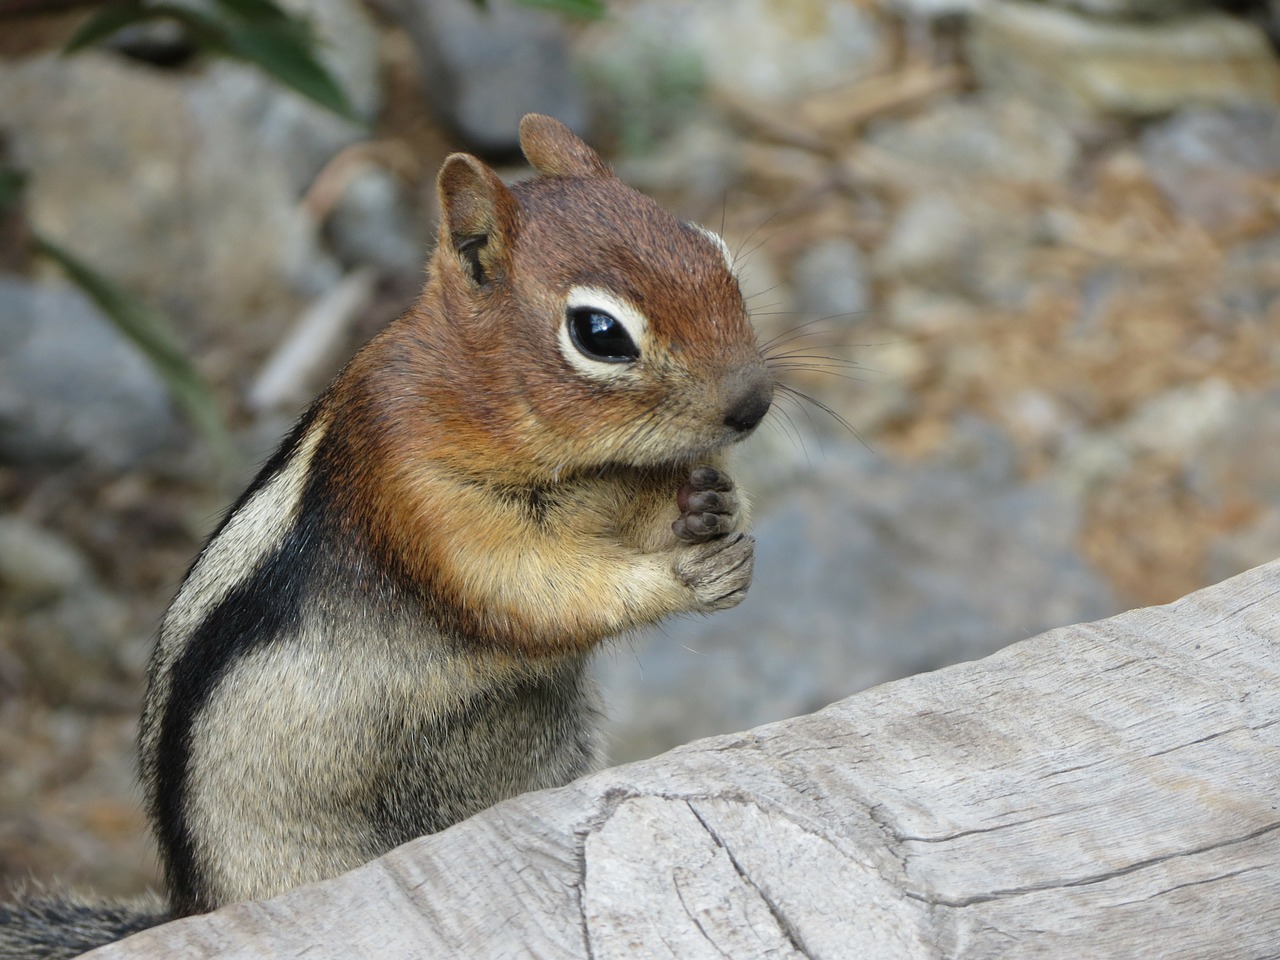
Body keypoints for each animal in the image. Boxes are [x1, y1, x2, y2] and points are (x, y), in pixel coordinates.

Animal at [0, 114, 768, 960]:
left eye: (713, 249)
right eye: (599, 333)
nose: (756, 402)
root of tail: (189, 906)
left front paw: (711, 504)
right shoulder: (418, 494)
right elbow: (527, 591)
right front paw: (683, 574)